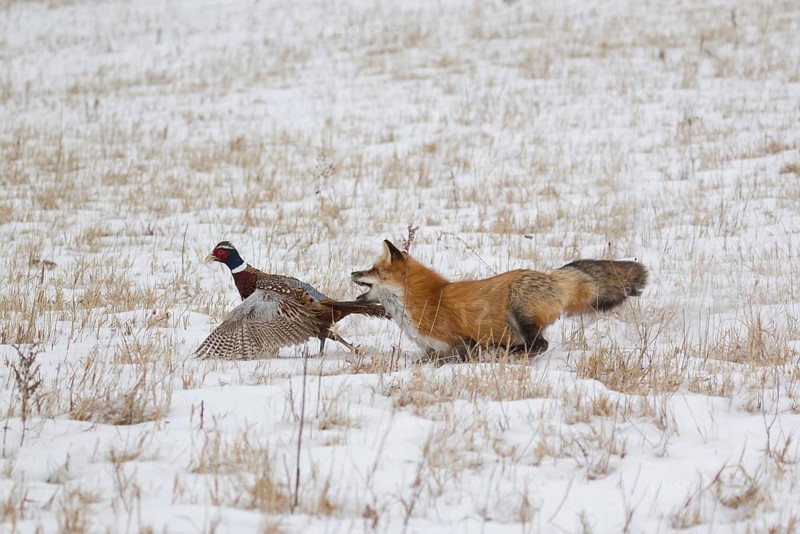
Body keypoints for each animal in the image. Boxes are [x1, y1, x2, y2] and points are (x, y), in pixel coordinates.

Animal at [351, 240, 648, 358]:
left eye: (373, 270)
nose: (352, 272)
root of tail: (551, 277)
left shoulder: (460, 342)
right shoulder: (433, 350)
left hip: (519, 307)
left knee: (539, 345)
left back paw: (506, 352)